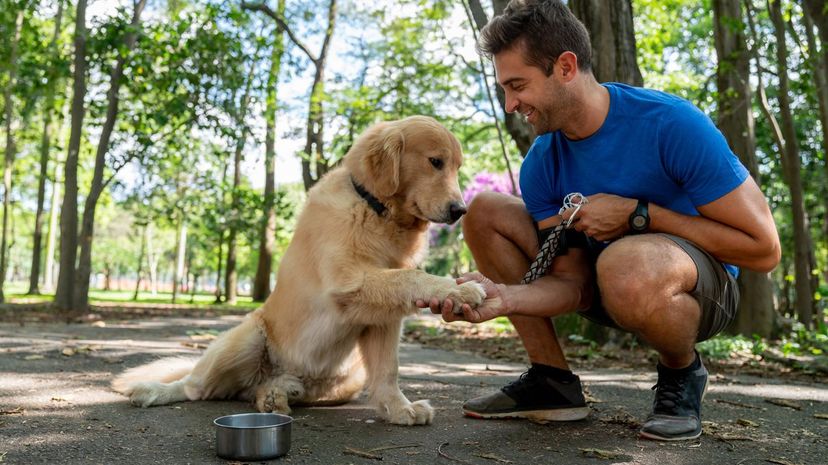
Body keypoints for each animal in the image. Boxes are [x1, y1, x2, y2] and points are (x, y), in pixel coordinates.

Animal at [110, 115, 486, 424]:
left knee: (263, 390)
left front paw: (398, 409)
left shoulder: (382, 318)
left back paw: (278, 393)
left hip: (345, 378)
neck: (376, 210)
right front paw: (458, 289)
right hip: (246, 339)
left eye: (456, 167)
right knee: (195, 387)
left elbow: (388, 371)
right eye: (435, 162)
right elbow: (411, 276)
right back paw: (153, 391)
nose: (461, 210)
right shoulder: (347, 283)